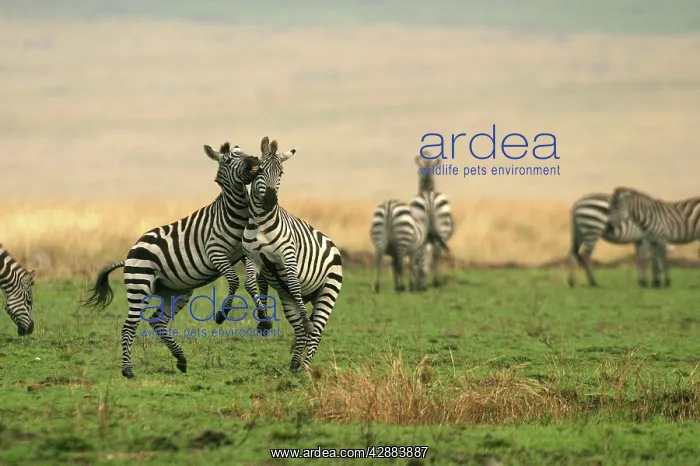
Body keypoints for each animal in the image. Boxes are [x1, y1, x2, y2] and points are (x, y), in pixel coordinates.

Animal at [81, 142, 264, 379]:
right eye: (228, 159)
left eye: (243, 152)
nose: (255, 160)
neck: (236, 214)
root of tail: (129, 255)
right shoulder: (215, 252)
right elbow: (233, 280)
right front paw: (222, 314)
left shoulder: (246, 252)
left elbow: (249, 281)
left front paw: (263, 317)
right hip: (139, 286)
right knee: (129, 326)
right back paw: (128, 370)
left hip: (175, 292)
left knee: (157, 321)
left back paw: (181, 360)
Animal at [241, 136, 343, 373]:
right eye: (259, 170)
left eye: (281, 173)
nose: (270, 201)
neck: (261, 222)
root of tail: (333, 245)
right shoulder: (253, 258)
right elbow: (250, 284)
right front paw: (264, 320)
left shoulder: (287, 256)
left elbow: (295, 285)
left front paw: (306, 321)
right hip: (287, 299)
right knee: (301, 331)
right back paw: (295, 366)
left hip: (328, 291)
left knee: (315, 331)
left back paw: (304, 368)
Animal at [409, 155, 454, 287]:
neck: (427, 189)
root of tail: (429, 199)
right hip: (442, 230)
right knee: (436, 254)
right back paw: (435, 281)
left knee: (422, 253)